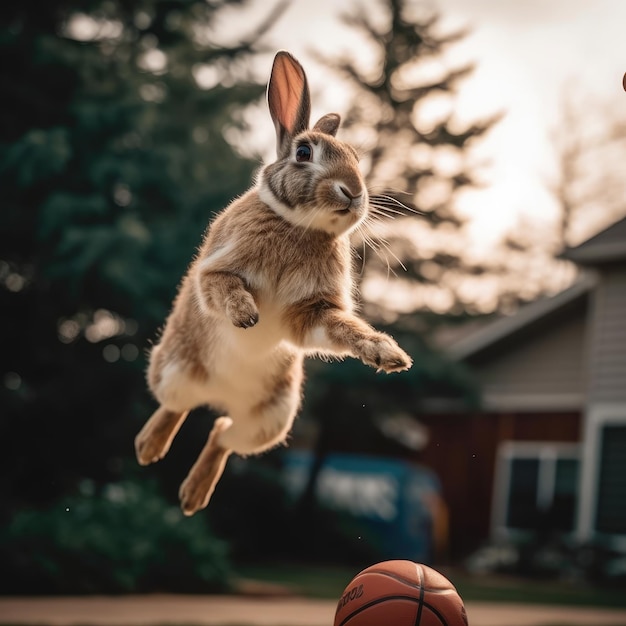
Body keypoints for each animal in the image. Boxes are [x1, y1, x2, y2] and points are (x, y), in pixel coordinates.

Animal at [134, 51, 412, 516]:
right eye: (303, 151)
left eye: (355, 157)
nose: (354, 193)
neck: (299, 225)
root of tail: (220, 394)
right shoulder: (215, 272)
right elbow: (226, 288)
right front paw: (246, 315)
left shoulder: (312, 313)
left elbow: (342, 330)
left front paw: (387, 355)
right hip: (174, 370)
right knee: (177, 408)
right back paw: (148, 449)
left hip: (270, 420)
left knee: (222, 433)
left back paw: (192, 496)